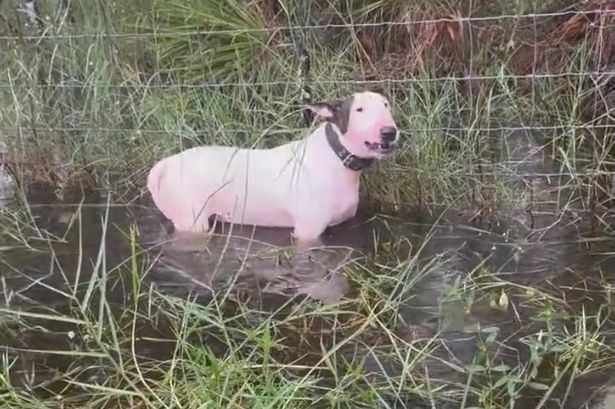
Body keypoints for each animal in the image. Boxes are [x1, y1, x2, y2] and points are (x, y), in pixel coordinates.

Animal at [148, 90, 400, 245]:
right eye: (358, 109)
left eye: (386, 105)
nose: (390, 132)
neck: (336, 157)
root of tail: (166, 164)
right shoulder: (307, 232)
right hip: (192, 220)